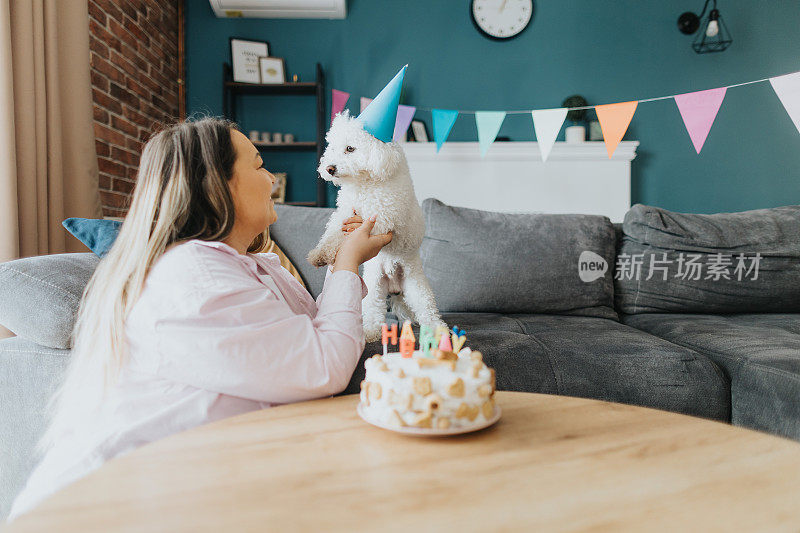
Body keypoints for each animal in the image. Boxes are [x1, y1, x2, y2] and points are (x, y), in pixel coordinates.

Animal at [308, 110, 444, 340]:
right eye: (332, 148)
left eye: (350, 148)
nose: (329, 168)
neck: (364, 183)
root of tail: (395, 289)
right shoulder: (343, 214)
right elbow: (333, 233)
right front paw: (321, 253)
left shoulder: (382, 218)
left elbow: (353, 230)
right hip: (374, 287)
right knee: (373, 310)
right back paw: (370, 331)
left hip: (415, 286)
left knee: (426, 309)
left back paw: (437, 330)